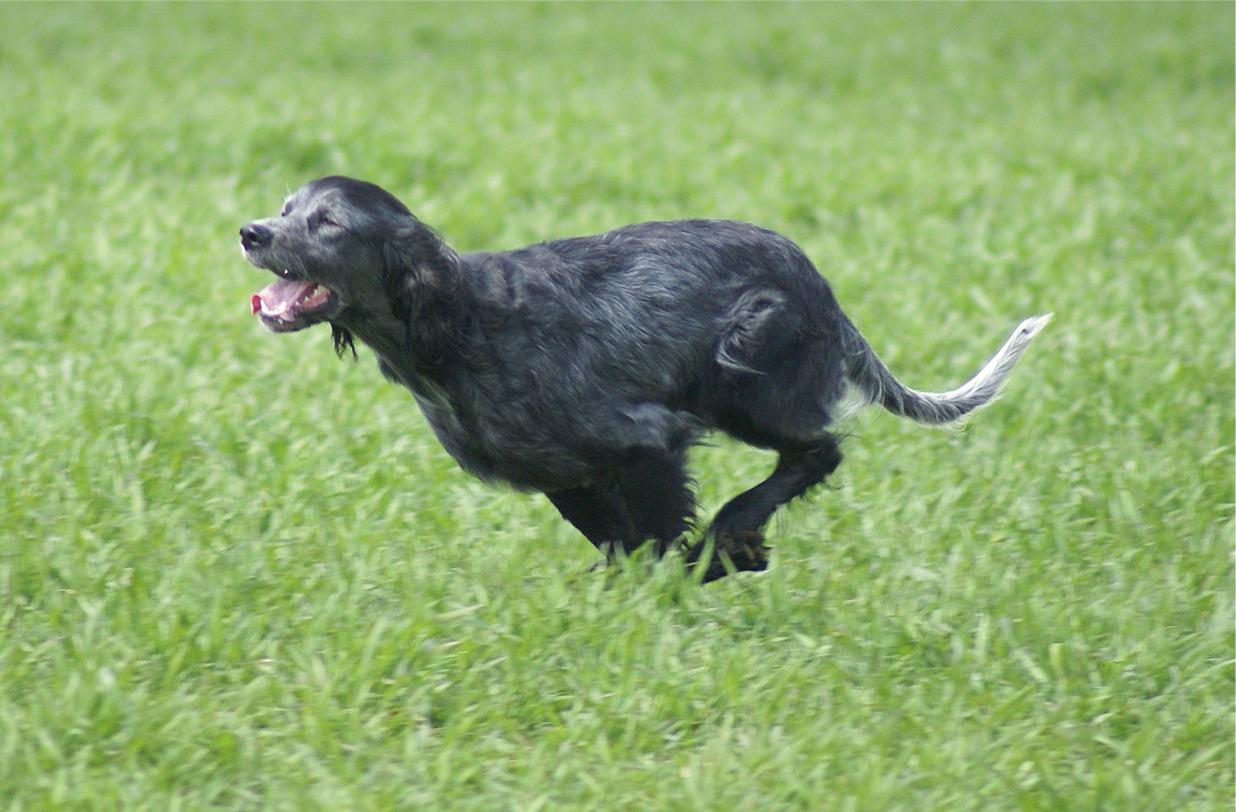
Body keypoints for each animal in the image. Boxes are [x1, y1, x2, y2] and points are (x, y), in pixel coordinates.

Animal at [238, 177, 1043, 583]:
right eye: (283, 211)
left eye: (329, 223)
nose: (250, 232)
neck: (463, 326)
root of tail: (823, 291)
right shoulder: (568, 473)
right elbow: (614, 540)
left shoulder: (647, 442)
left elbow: (655, 538)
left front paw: (690, 574)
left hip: (741, 376)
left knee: (817, 451)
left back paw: (730, 542)